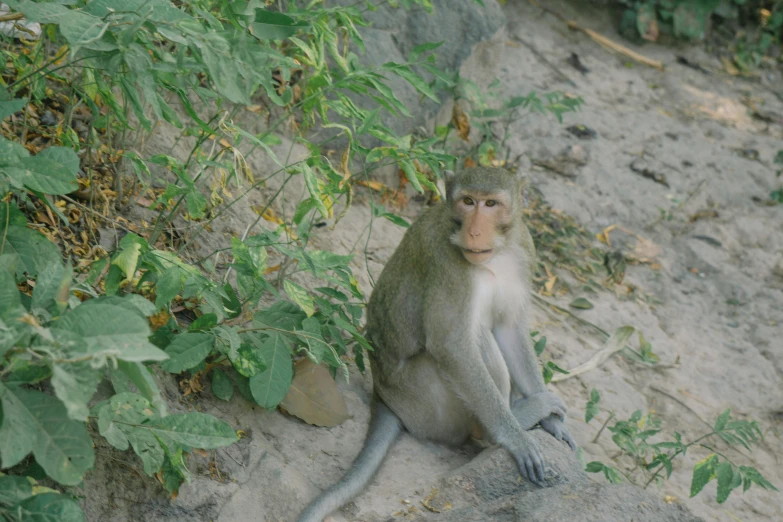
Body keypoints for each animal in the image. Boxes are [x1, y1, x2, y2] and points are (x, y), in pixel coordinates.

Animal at [296, 166, 576, 520]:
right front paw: (514, 437)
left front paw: (554, 425)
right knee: (474, 337)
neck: (497, 255)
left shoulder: (524, 252)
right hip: (428, 400)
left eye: (491, 204)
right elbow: (451, 344)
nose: (474, 232)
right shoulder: (448, 264)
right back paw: (507, 424)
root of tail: (383, 397)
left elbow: (510, 329)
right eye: (468, 201)